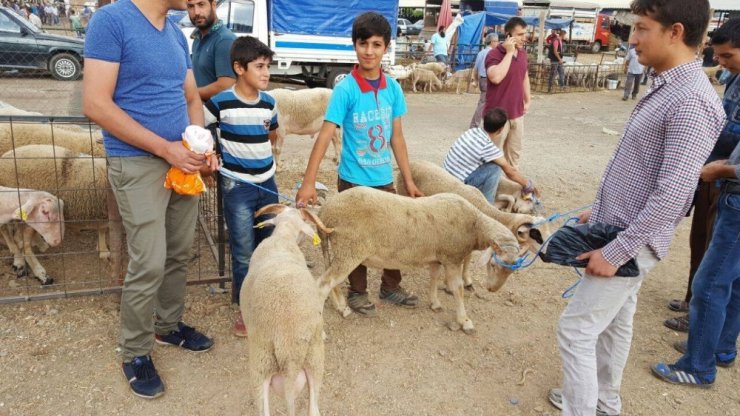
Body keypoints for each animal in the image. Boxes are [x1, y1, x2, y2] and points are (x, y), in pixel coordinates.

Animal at [318, 188, 520, 334]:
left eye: (512, 271)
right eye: (493, 265)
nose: (492, 289)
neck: (474, 225)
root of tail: (325, 212)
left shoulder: (437, 257)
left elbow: (434, 278)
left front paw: (434, 303)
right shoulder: (452, 258)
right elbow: (458, 289)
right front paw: (464, 321)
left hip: (342, 251)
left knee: (331, 282)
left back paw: (341, 307)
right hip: (349, 250)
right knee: (323, 284)